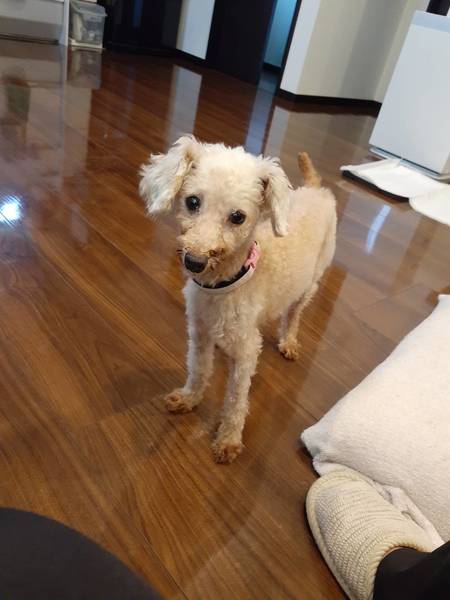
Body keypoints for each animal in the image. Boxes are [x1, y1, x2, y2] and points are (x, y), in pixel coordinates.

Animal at [139, 136, 336, 463]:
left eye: (237, 217)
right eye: (192, 202)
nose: (194, 262)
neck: (222, 286)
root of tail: (317, 190)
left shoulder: (246, 351)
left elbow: (235, 400)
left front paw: (229, 440)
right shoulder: (200, 332)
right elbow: (198, 370)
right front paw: (190, 398)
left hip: (310, 285)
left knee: (293, 314)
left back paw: (289, 341)